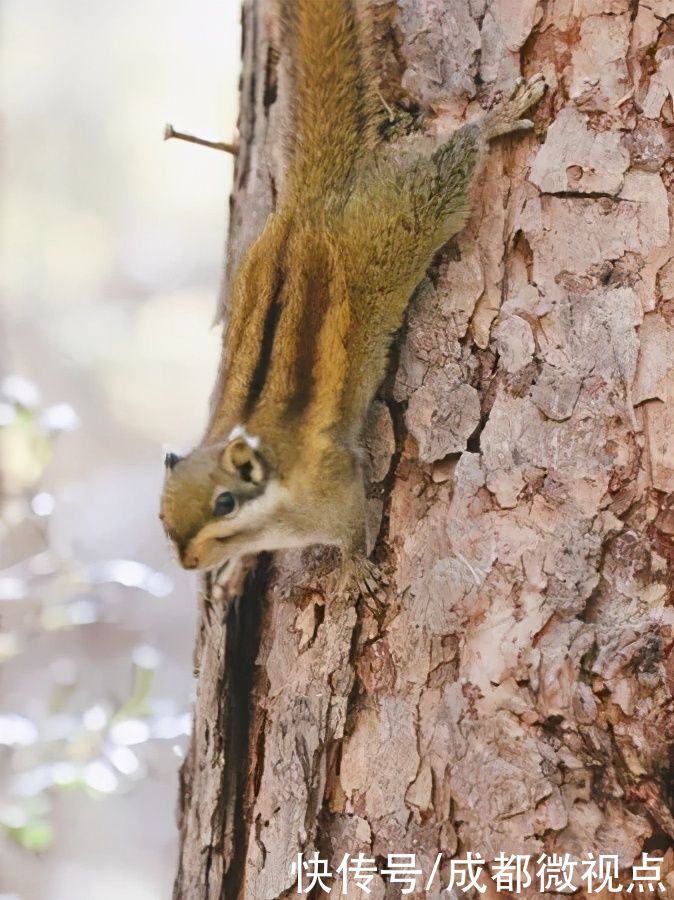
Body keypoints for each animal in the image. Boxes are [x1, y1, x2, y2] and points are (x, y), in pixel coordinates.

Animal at [160, 0, 544, 592]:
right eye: (163, 515)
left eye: (225, 503)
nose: (187, 562)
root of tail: (305, 208)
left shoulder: (335, 482)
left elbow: (348, 529)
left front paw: (352, 571)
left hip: (403, 221)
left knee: (449, 166)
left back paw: (495, 120)